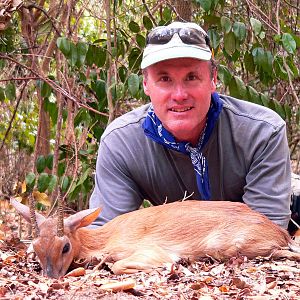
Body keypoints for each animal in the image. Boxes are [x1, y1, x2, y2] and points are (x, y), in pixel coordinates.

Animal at [9, 199, 300, 278]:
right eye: (35, 247)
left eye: (65, 246)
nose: (50, 277)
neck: (103, 239)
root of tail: (279, 232)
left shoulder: (151, 250)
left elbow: (118, 265)